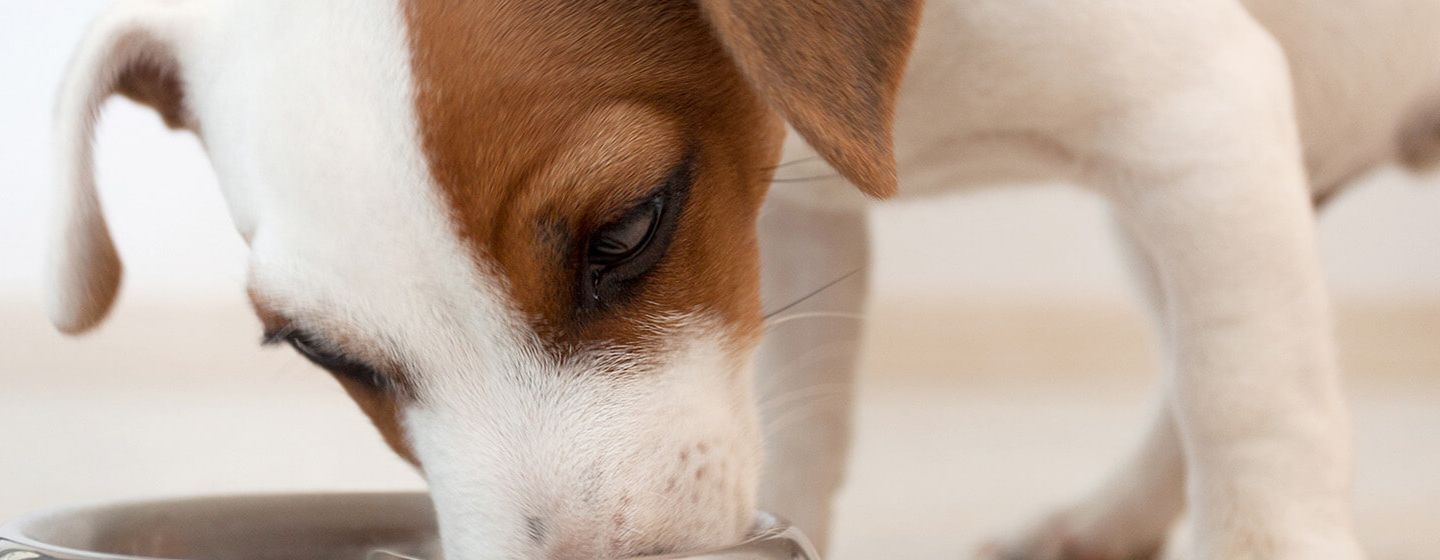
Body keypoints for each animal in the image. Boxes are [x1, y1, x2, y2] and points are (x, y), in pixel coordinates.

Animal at [50, 1, 1440, 558]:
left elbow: (1254, 413)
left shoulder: (1200, 115)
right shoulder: (791, 212)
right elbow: (795, 423)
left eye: (625, 228)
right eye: (329, 354)